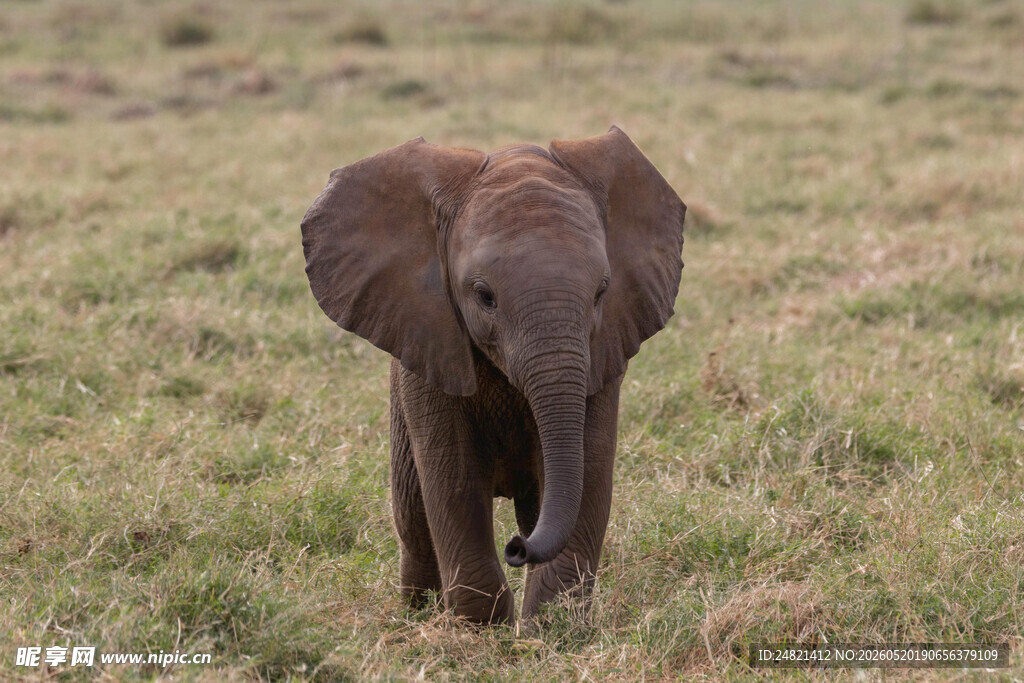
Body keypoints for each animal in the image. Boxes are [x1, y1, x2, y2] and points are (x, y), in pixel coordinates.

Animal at [301, 126, 685, 624]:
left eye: (602, 292)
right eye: (484, 297)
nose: (516, 549)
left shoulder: (604, 351)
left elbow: (590, 470)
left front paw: (552, 628)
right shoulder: (428, 345)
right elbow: (454, 479)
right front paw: (482, 628)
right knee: (413, 518)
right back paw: (418, 614)